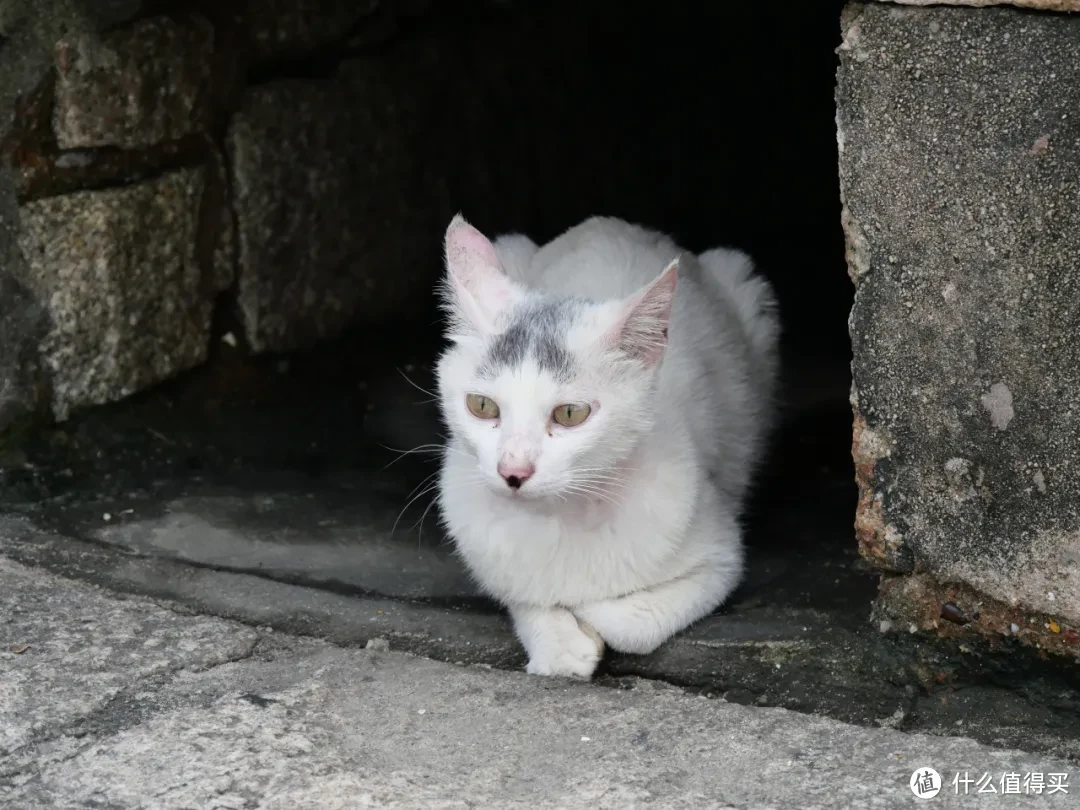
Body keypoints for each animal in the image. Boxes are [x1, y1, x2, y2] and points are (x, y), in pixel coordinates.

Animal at [434, 216, 781, 678]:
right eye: (482, 405)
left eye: (570, 414)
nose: (513, 470)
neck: (563, 516)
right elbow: (524, 595)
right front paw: (559, 644)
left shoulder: (720, 557)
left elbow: (628, 623)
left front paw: (587, 618)